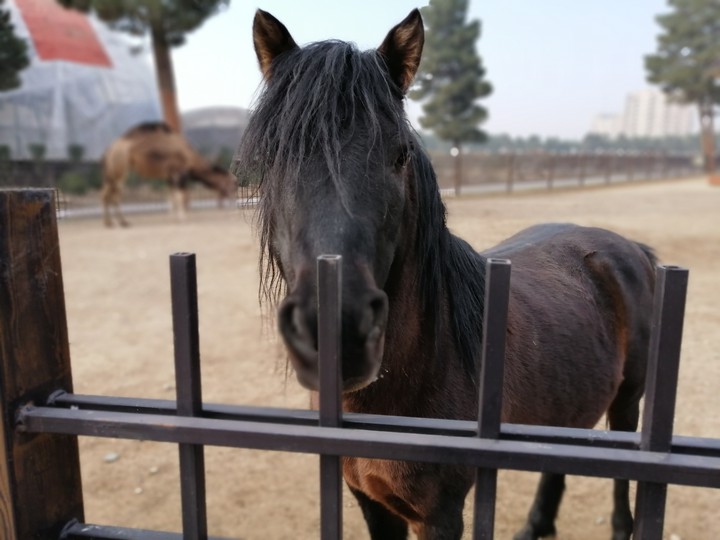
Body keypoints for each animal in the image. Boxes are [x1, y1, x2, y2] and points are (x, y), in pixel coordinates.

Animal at [101, 121, 236, 227]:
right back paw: (120, 222)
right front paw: (183, 218)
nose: (233, 193)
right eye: (229, 181)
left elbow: (171, 197)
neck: (189, 157)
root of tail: (109, 150)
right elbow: (179, 196)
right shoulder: (180, 173)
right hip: (120, 169)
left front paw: (172, 218)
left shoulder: (170, 176)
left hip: (112, 172)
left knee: (107, 194)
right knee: (114, 195)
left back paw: (113, 223)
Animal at [234, 9, 657, 540]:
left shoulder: (440, 514)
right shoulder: (372, 502)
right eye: (270, 161)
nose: (339, 330)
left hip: (627, 402)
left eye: (399, 154)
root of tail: (629, 248)